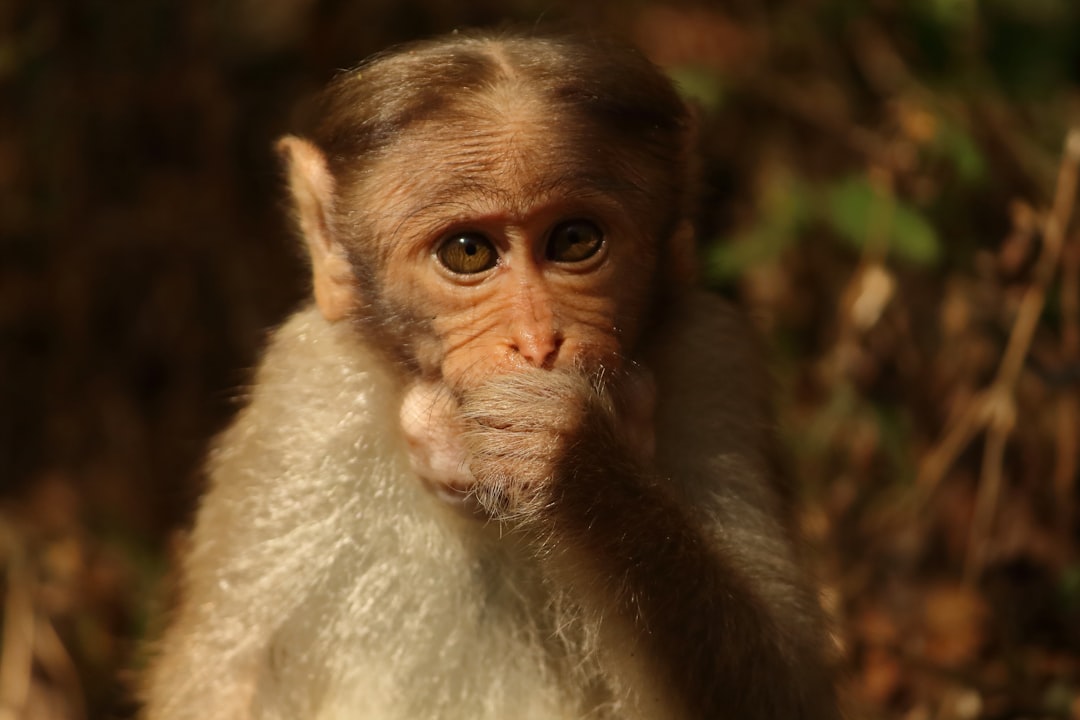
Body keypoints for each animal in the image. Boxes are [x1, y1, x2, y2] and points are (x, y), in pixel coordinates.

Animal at [139, 29, 838, 720]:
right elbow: (223, 683)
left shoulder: (715, 360)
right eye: (468, 252)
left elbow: (784, 681)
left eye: (575, 240)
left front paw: (570, 457)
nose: (536, 344)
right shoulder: (305, 396)